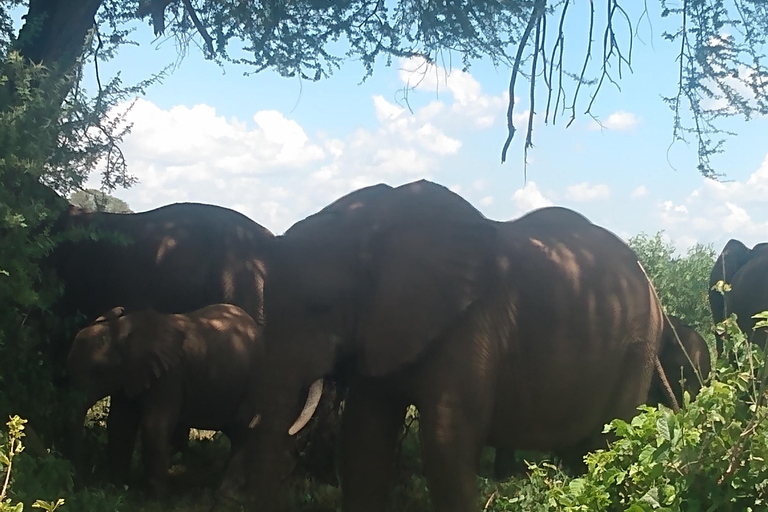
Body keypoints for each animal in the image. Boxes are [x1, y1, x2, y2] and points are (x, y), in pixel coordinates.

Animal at [67, 304, 264, 496]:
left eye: (99, 373)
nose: (80, 486)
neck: (125, 327)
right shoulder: (129, 374)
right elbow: (121, 423)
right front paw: (116, 487)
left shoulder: (169, 375)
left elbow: (154, 424)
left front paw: (156, 496)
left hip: (254, 382)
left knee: (243, 429)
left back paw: (228, 493)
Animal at [219, 180, 668, 512]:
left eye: (320, 307)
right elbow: (364, 438)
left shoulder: (471, 323)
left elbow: (445, 443)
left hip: (638, 348)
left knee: (611, 441)